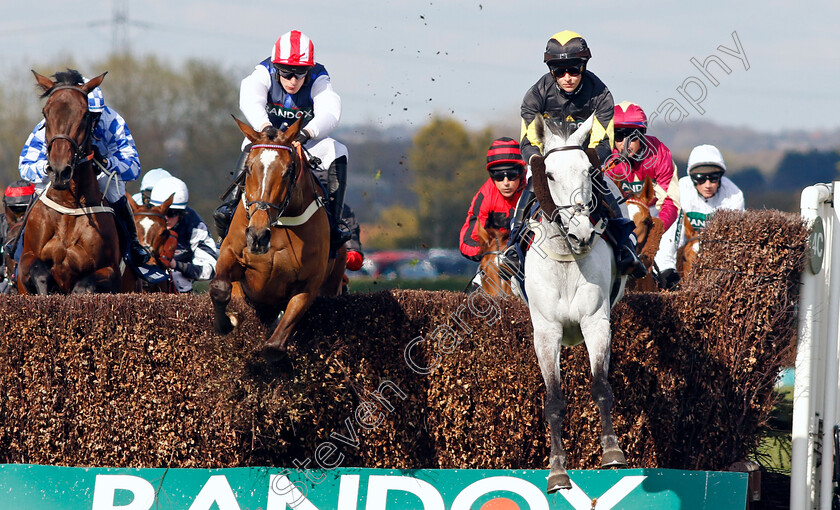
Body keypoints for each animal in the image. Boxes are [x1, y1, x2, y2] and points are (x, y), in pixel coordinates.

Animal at [17, 71, 121, 294]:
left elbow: (84, 285)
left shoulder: (112, 271)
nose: (59, 171)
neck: (69, 205)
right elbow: (39, 272)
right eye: (45, 112)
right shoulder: (26, 260)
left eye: (84, 115)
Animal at [212, 117, 346, 356]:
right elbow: (220, 287)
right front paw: (225, 324)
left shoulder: (308, 284)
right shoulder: (232, 257)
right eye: (248, 168)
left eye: (288, 171)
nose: (257, 236)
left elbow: (274, 346)